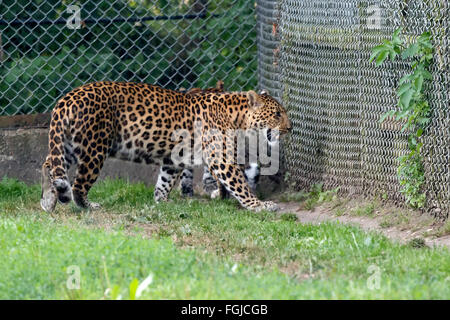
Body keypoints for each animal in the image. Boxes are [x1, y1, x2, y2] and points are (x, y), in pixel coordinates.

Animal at [41, 81, 292, 214]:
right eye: (277, 114)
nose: (290, 127)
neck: (237, 118)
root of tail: (67, 98)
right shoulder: (220, 159)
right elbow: (240, 184)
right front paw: (259, 205)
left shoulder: (176, 158)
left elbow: (165, 180)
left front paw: (161, 201)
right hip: (94, 147)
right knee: (78, 184)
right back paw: (86, 205)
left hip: (67, 144)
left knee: (49, 165)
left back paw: (47, 201)